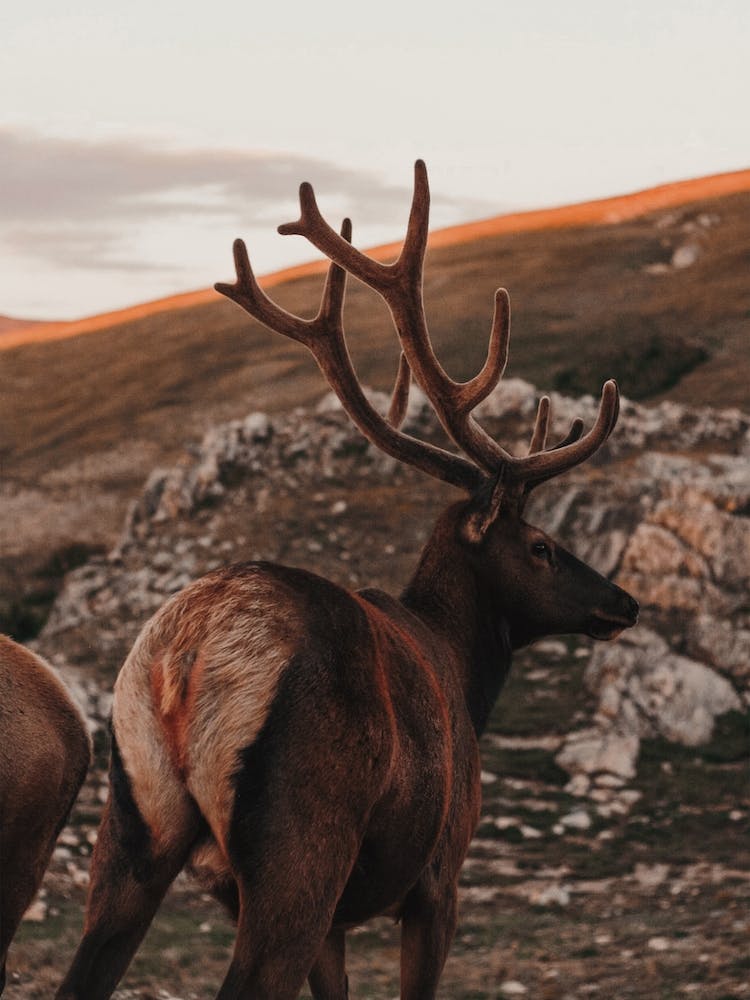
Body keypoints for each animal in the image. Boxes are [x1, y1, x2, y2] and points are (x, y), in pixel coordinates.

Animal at [56, 160, 638, 1000]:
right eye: (541, 545)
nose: (624, 602)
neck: (467, 675)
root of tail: (189, 657)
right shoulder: (439, 877)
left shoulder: (337, 924)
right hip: (303, 842)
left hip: (134, 822)